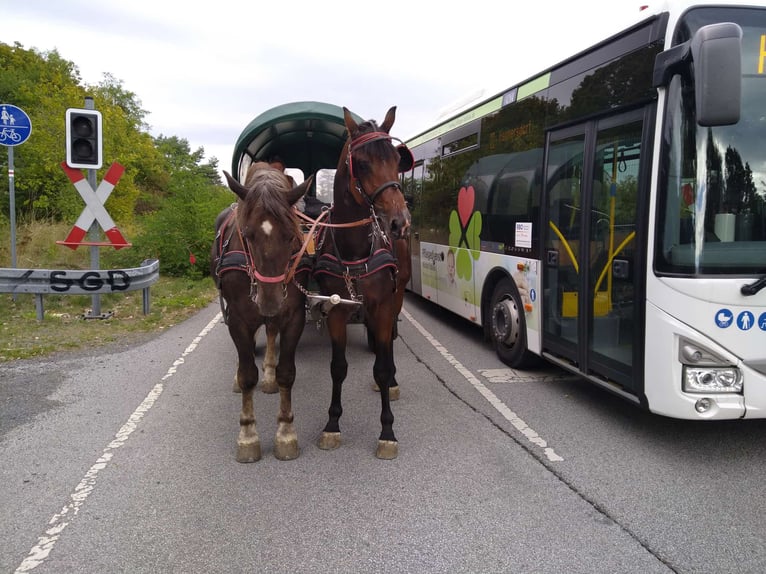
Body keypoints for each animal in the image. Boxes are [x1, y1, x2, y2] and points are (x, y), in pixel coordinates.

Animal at [213, 163, 312, 464]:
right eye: (247, 234)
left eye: (291, 235)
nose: (269, 302)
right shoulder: (237, 319)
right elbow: (247, 374)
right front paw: (247, 435)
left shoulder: (293, 315)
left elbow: (286, 373)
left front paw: (286, 432)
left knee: (269, 332)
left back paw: (268, 374)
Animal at [314, 106, 414, 462]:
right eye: (364, 162)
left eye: (397, 161)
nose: (400, 223)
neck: (356, 247)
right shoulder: (335, 309)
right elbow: (337, 367)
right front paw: (332, 424)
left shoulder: (383, 307)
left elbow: (382, 365)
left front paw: (387, 431)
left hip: (397, 295)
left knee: (388, 348)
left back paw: (393, 381)